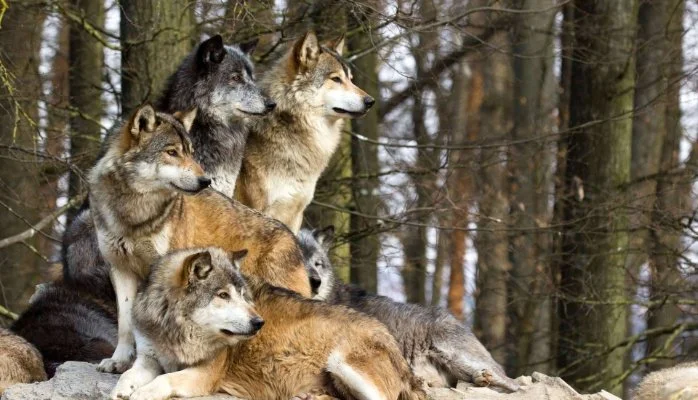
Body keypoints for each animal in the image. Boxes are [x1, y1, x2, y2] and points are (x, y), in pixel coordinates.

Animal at [89, 104, 310, 374]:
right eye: (172, 152)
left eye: (191, 153)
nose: (206, 181)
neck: (135, 213)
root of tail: (292, 237)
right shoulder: (120, 269)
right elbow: (125, 323)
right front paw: (119, 361)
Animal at [111, 247, 425, 400]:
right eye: (223, 295)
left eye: (243, 295)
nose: (258, 322)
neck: (176, 331)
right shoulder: (149, 358)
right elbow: (129, 375)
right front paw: (122, 390)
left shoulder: (204, 375)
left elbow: (164, 381)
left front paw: (141, 394)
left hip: (342, 363)